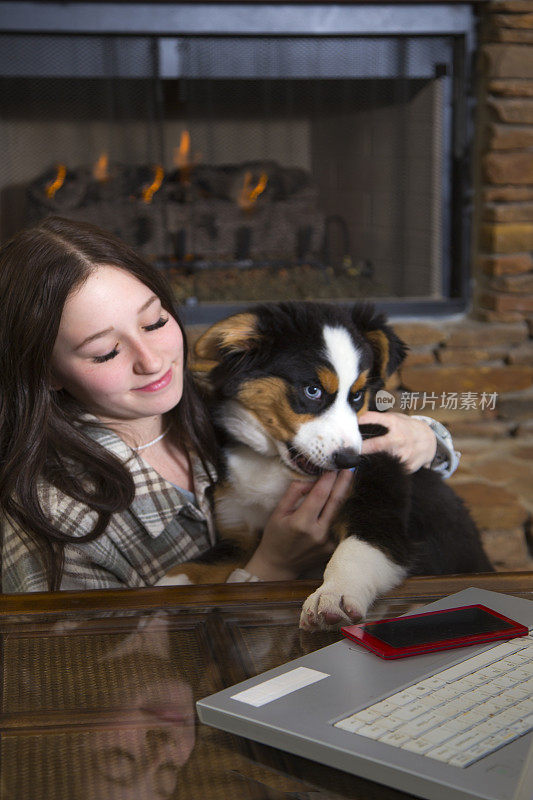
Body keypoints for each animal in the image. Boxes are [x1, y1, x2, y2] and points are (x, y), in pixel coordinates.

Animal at [186, 302, 490, 632]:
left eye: (356, 395)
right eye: (312, 390)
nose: (349, 461)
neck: (277, 466)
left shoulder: (379, 502)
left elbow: (356, 549)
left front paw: (334, 596)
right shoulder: (238, 526)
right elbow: (201, 563)